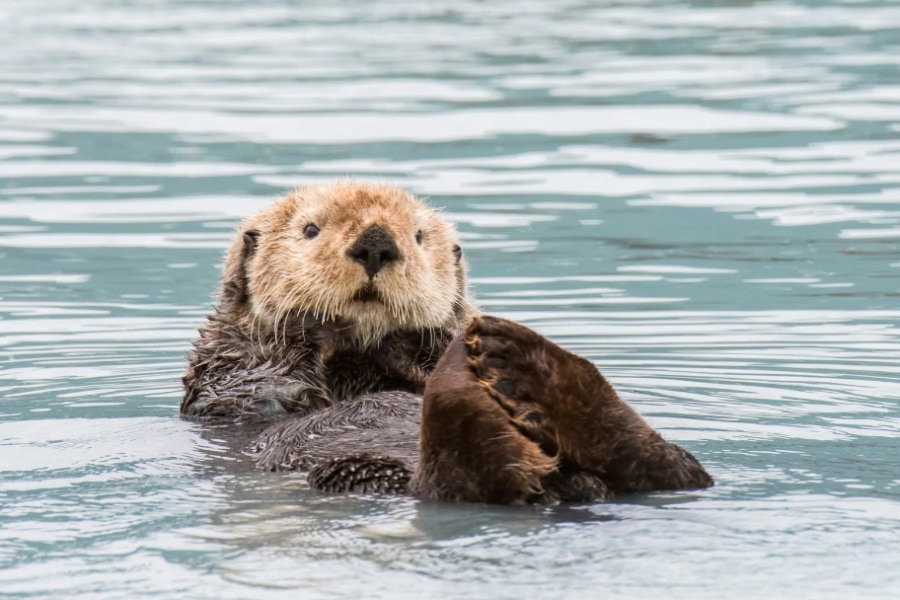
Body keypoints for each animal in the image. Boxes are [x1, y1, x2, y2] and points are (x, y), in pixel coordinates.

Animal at [183, 182, 712, 502]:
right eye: (309, 229)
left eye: (418, 236)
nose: (376, 242)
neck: (360, 361)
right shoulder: (227, 371)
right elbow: (263, 386)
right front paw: (313, 327)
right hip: (361, 472)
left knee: (675, 470)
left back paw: (522, 365)